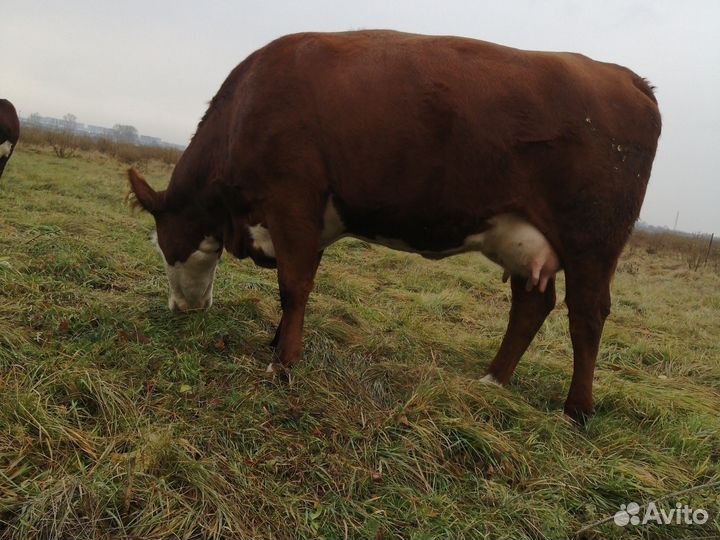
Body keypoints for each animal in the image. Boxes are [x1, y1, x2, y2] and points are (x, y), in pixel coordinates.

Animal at [128, 31, 661, 422]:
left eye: (161, 246)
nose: (181, 308)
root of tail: (626, 77)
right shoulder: (312, 223)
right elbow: (299, 286)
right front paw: (279, 342)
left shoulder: (292, 203)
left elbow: (293, 286)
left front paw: (282, 364)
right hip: (525, 236)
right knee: (532, 305)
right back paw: (493, 381)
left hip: (592, 239)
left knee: (587, 315)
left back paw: (576, 410)